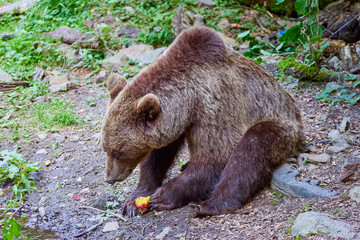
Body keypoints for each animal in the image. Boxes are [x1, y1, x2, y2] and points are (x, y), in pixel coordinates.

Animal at [102, 27, 304, 217]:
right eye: (106, 149)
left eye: (118, 152)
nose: (110, 178)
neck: (189, 102)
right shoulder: (177, 124)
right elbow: (158, 156)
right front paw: (135, 199)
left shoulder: (214, 105)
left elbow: (216, 156)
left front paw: (162, 196)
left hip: (279, 127)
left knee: (251, 149)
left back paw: (209, 204)